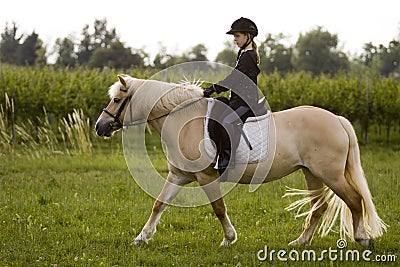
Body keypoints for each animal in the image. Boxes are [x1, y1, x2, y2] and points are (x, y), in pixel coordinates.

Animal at [95, 74, 386, 248]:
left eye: (117, 99)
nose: (100, 127)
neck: (182, 119)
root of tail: (336, 118)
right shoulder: (179, 175)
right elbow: (159, 204)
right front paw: (141, 238)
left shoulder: (206, 176)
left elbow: (218, 208)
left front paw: (229, 239)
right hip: (312, 173)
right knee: (319, 206)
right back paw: (300, 242)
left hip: (331, 174)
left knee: (354, 199)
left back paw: (363, 239)